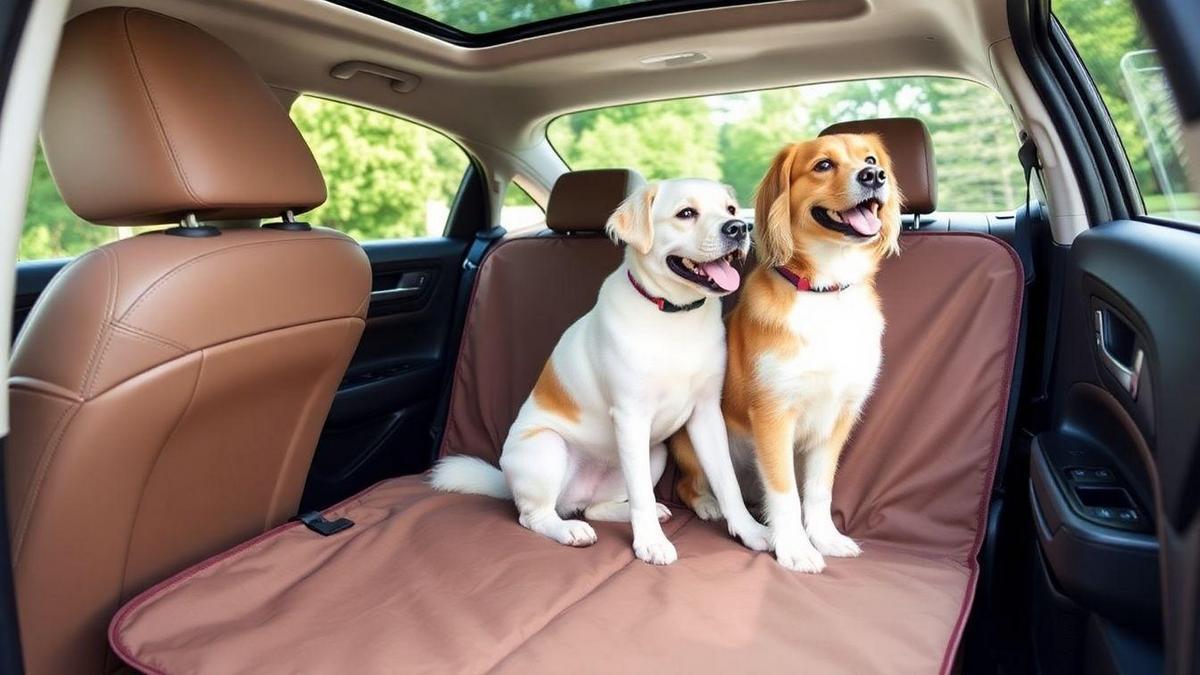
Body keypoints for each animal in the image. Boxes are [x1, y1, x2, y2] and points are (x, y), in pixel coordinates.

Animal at [432, 176, 768, 559]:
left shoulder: (707, 414)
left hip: (654, 453)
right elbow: (641, 492)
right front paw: (651, 544)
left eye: (730, 209)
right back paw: (570, 530)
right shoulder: (631, 416)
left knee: (598, 507)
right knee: (534, 517)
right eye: (686, 213)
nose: (738, 227)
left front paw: (750, 531)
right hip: (548, 448)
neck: (674, 315)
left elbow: (726, 482)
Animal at [672, 133, 897, 569]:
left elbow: (819, 489)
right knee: (689, 486)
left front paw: (824, 537)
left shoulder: (838, 417)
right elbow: (784, 493)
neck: (825, 292)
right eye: (823, 165)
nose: (873, 176)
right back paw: (708, 503)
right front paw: (794, 547)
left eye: (870, 160)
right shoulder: (773, 414)